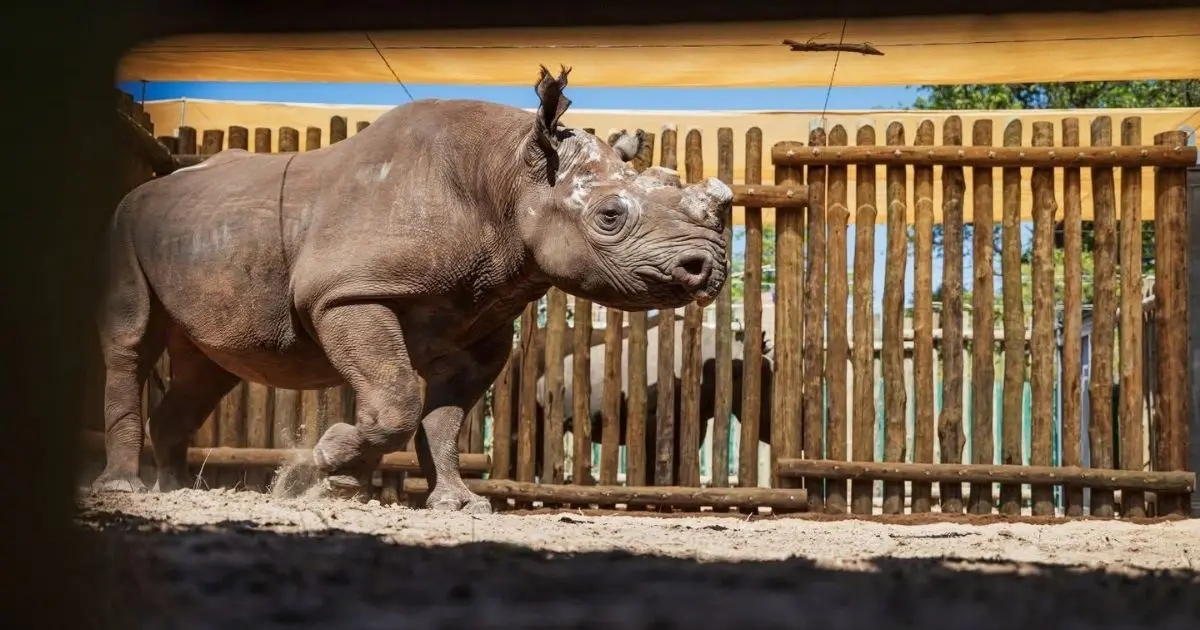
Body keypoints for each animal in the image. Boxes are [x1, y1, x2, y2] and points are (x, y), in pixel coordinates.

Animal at [92, 65, 732, 514]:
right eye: (609, 217)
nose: (709, 267)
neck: (509, 173)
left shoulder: (481, 323)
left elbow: (443, 420)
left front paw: (455, 503)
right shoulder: (348, 292)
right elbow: (397, 397)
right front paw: (323, 467)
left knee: (210, 368)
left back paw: (174, 489)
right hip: (123, 224)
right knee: (132, 342)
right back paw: (126, 488)